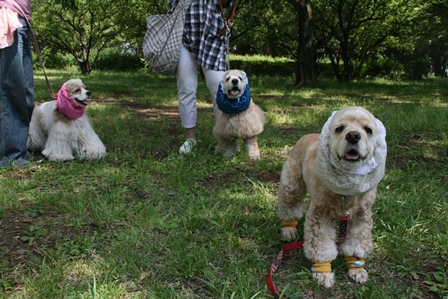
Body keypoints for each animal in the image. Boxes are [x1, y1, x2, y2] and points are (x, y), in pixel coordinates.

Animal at [274, 107, 386, 288]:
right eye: (339, 128)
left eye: (368, 130)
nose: (353, 135)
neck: (345, 188)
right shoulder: (321, 215)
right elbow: (321, 246)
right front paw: (323, 273)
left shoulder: (361, 216)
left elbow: (356, 243)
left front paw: (356, 268)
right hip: (292, 185)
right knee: (289, 205)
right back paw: (289, 229)